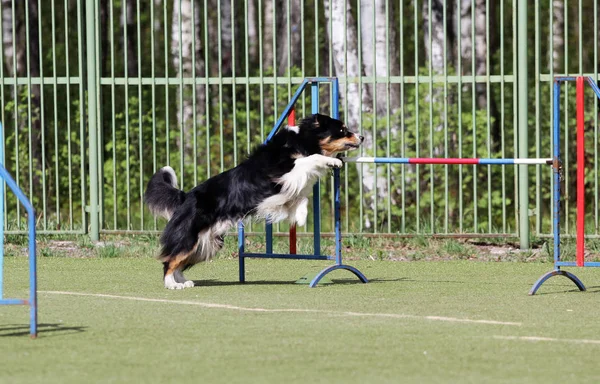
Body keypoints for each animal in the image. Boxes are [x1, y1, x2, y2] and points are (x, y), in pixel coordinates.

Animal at [143, 113, 364, 288]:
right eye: (343, 130)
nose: (362, 136)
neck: (303, 140)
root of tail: (185, 196)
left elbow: (301, 198)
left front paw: (300, 217)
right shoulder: (283, 171)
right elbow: (311, 159)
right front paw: (333, 160)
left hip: (207, 242)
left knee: (179, 260)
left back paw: (183, 281)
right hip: (190, 235)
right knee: (170, 260)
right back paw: (172, 284)